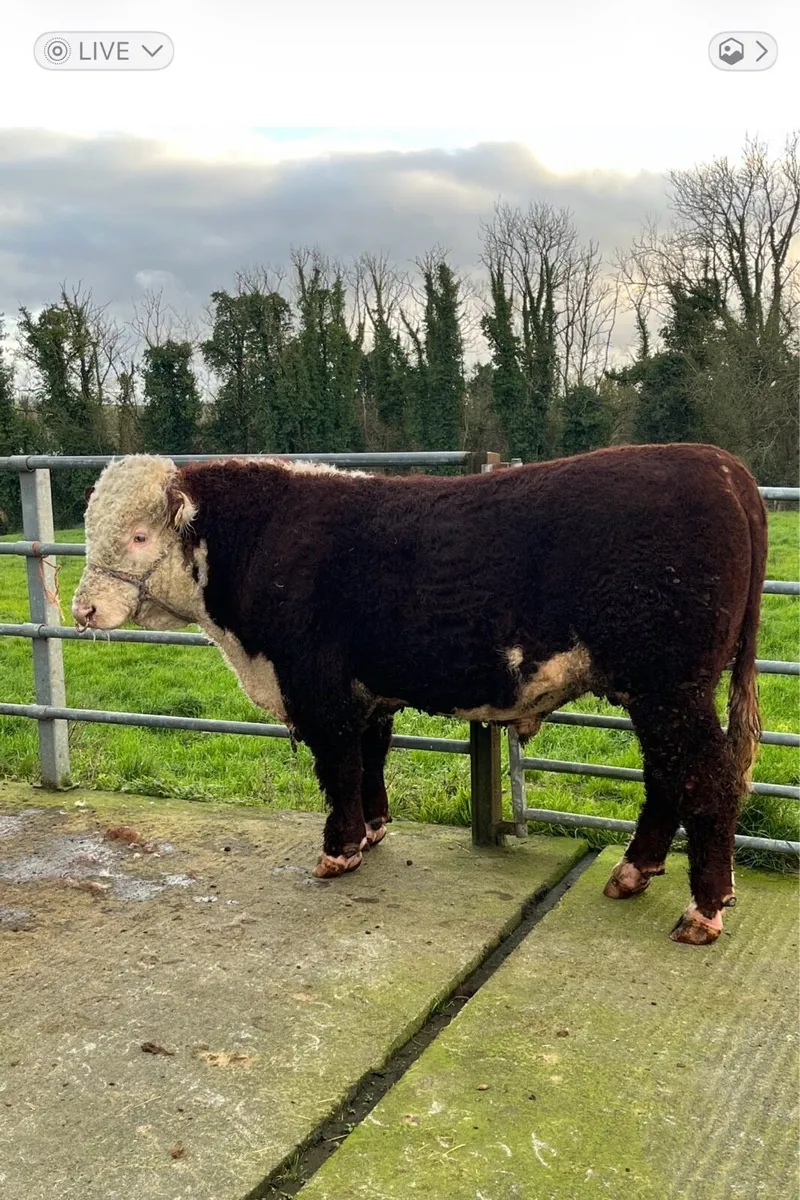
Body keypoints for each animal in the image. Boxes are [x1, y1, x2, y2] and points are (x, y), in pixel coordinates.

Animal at [71, 444, 767, 945]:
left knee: (707, 778)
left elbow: (338, 765)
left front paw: (339, 850)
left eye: (137, 535)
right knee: (669, 777)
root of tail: (719, 463)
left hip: (670, 689)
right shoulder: (368, 691)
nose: (82, 610)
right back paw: (633, 871)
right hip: (662, 696)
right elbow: (369, 758)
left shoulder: (318, 687)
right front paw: (374, 829)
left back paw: (703, 911)